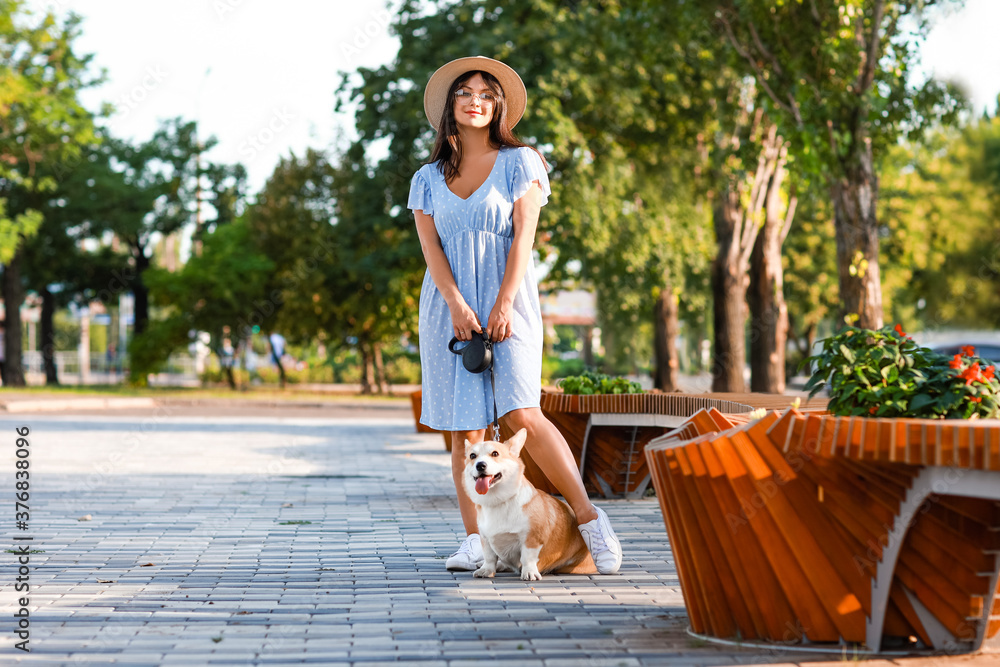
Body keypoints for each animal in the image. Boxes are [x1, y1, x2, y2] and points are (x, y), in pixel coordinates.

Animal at [460, 428, 592, 580]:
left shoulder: (531, 538)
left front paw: (529, 572)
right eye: (472, 456)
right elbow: (489, 557)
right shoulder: (485, 538)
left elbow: (527, 557)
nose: (480, 465)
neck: (498, 500)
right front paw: (486, 570)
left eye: (495, 453)